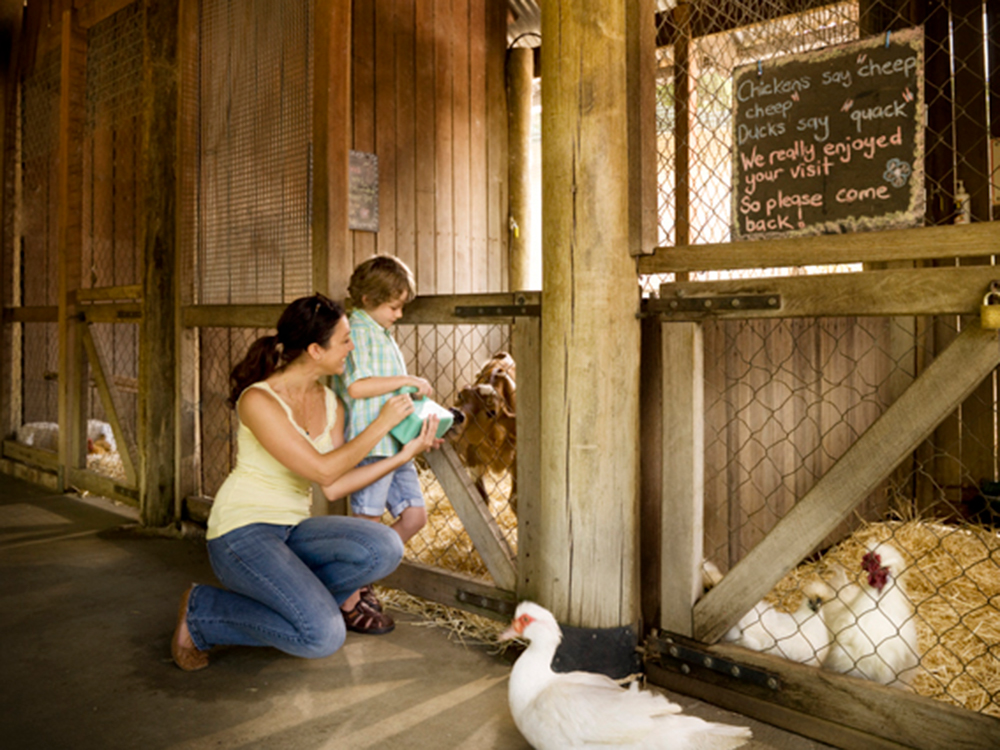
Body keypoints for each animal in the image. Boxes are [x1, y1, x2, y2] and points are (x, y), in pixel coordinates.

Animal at [450, 354, 520, 516]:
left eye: (491, 412)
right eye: (460, 395)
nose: (456, 414)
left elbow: (514, 501)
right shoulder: (472, 454)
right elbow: (481, 499)